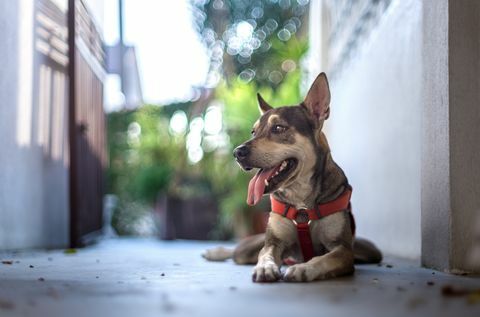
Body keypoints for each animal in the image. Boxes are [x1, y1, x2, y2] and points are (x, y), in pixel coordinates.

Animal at [203, 72, 382, 282]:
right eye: (253, 132)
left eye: (278, 128)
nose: (237, 152)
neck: (301, 197)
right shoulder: (273, 242)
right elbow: (265, 254)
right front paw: (265, 268)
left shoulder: (343, 249)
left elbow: (325, 259)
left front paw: (303, 268)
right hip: (250, 248)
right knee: (238, 251)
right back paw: (215, 251)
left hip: (370, 251)